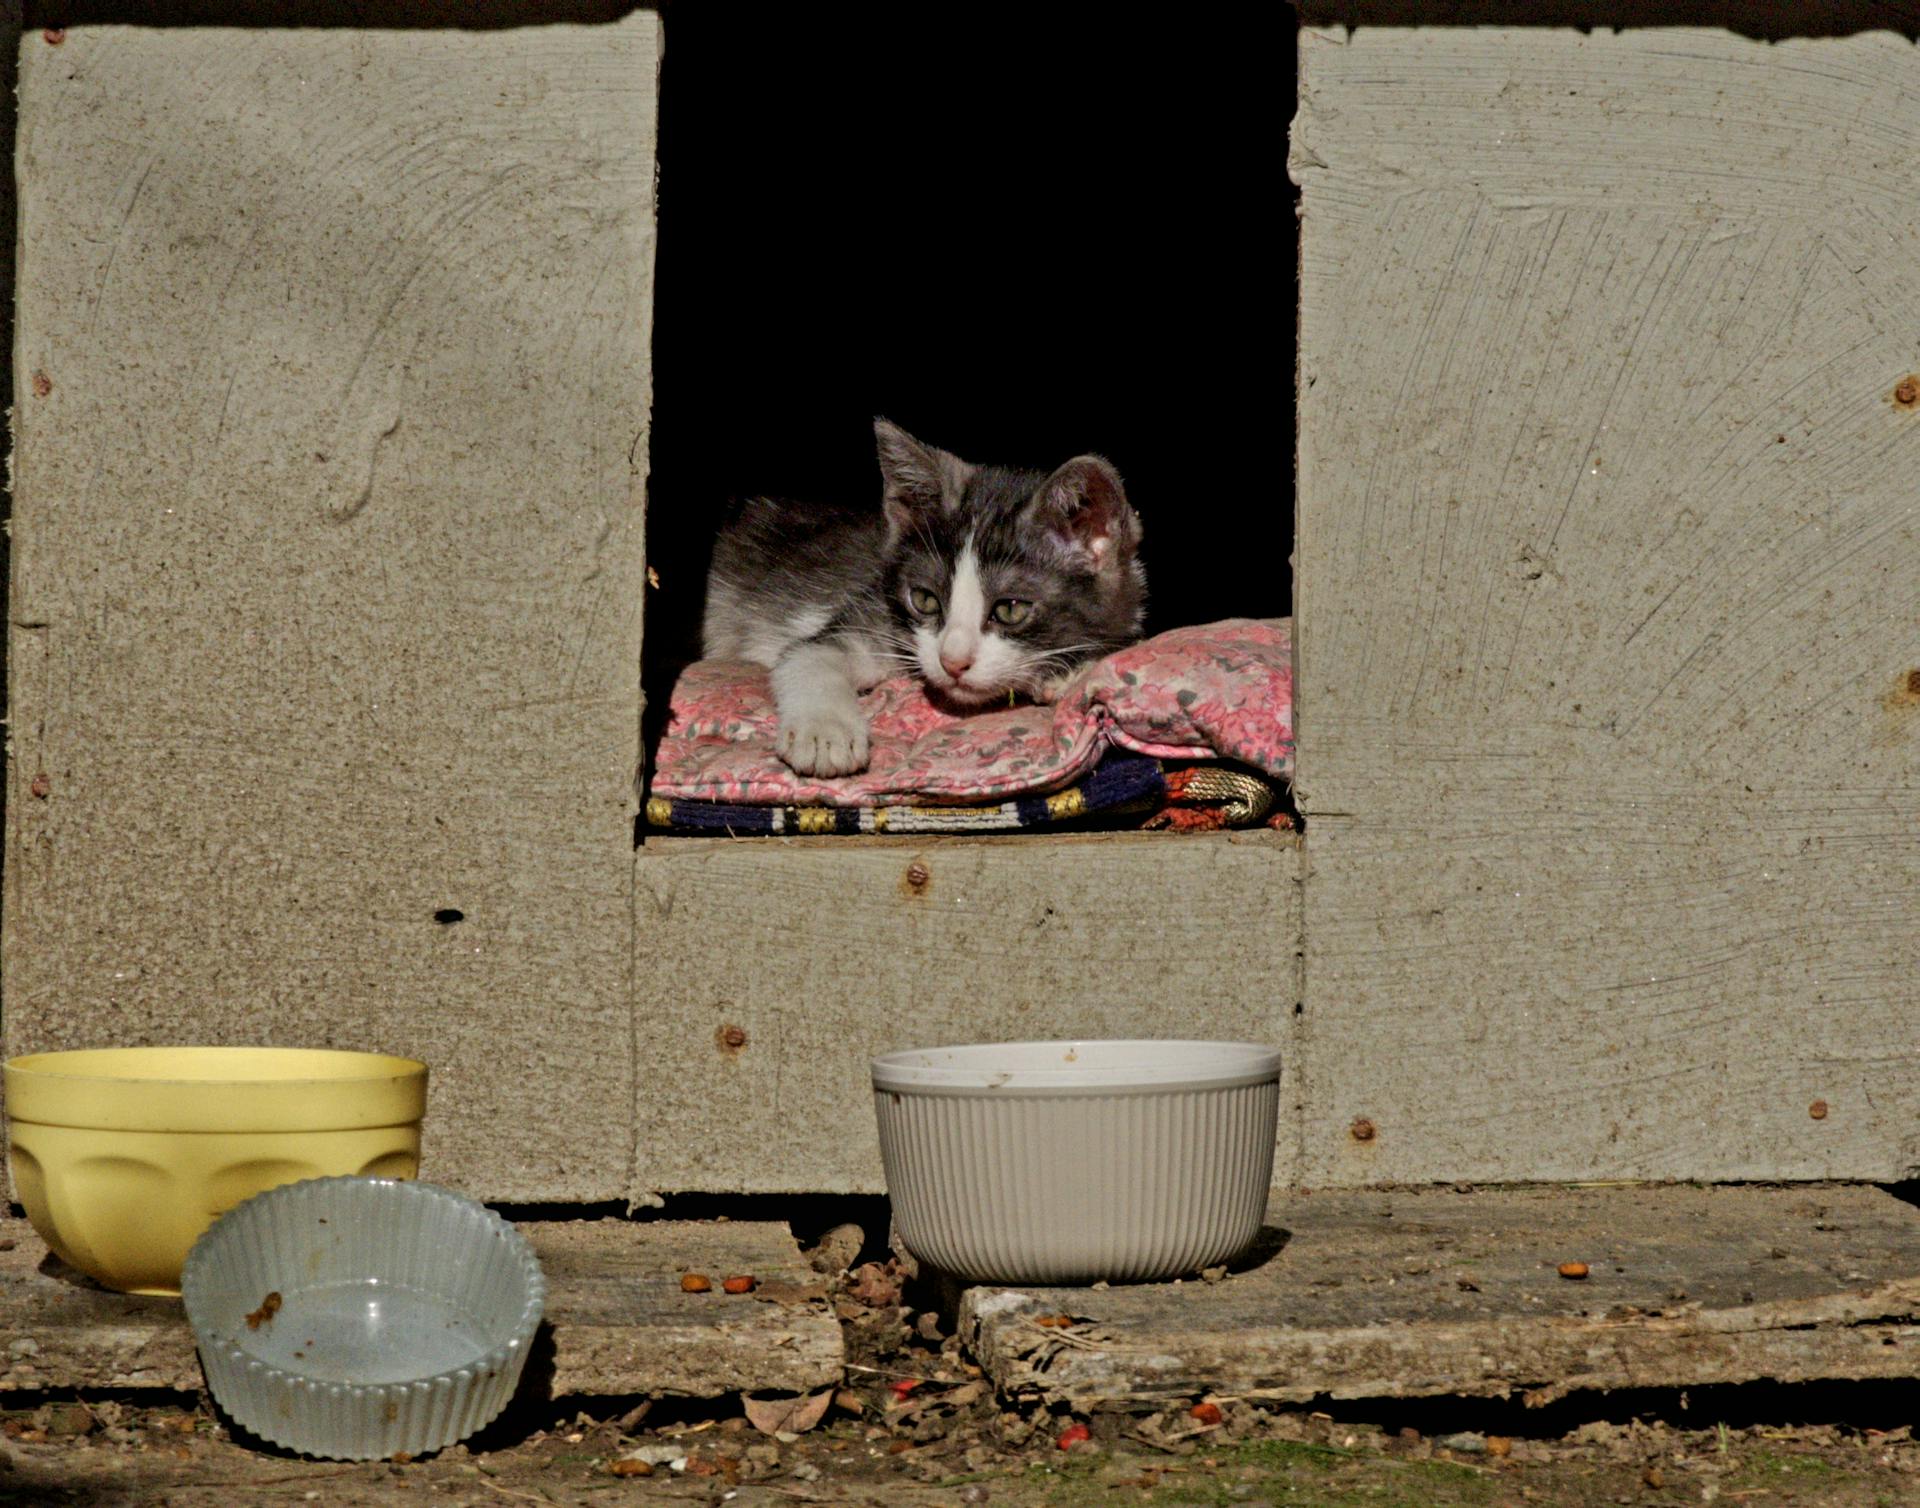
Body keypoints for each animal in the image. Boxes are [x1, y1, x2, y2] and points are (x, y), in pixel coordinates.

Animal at [710, 422, 1144, 776]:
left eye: (1010, 609)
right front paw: (824, 731)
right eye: (924, 599)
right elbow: (809, 655)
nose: (952, 662)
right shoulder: (869, 612)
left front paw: (1068, 669)